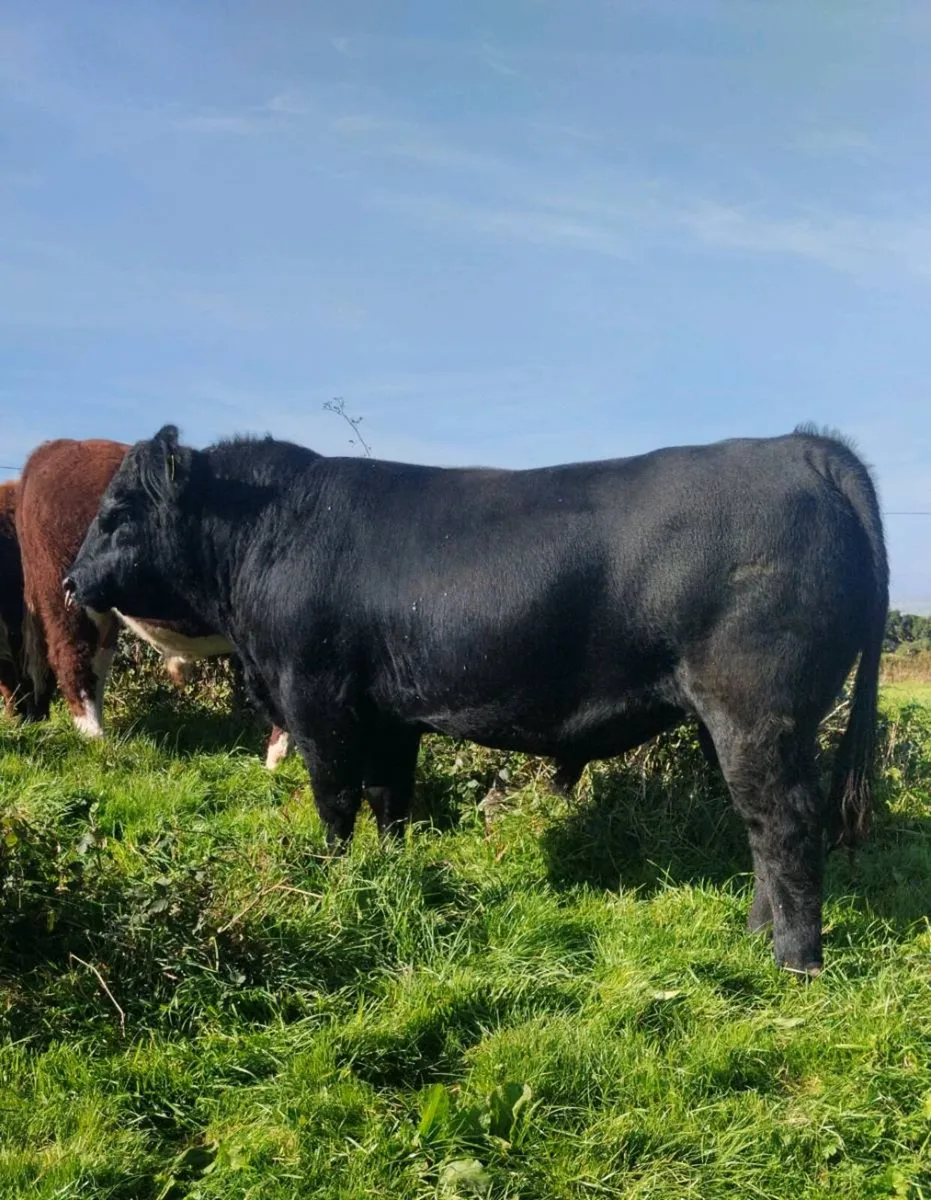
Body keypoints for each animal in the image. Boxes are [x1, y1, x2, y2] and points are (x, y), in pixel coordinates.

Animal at [15, 437, 290, 765]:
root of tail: (56, 447)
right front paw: (277, 762)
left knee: (96, 663)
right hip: (68, 598)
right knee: (73, 658)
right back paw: (95, 738)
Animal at [65, 425, 888, 974]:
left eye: (117, 511)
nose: (72, 581)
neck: (268, 533)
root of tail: (801, 445)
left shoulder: (314, 696)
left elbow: (335, 799)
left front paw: (329, 880)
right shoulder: (389, 712)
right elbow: (390, 796)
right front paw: (390, 873)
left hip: (756, 712)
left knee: (784, 823)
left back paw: (793, 960)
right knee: (764, 829)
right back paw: (753, 936)